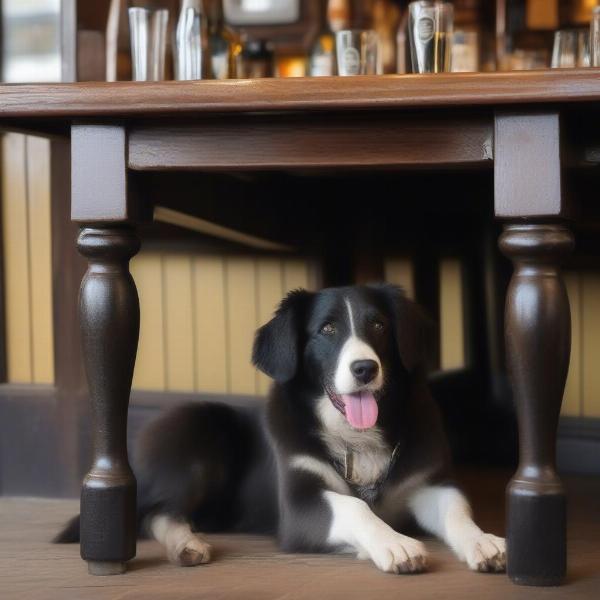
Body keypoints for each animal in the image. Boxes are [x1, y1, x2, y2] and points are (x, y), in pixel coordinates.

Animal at [57, 284, 506, 576]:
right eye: (327, 330)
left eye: (379, 325)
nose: (365, 368)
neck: (357, 437)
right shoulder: (299, 505)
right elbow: (355, 507)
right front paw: (392, 543)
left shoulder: (429, 482)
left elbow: (457, 510)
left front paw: (484, 540)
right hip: (199, 434)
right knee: (157, 512)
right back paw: (187, 543)